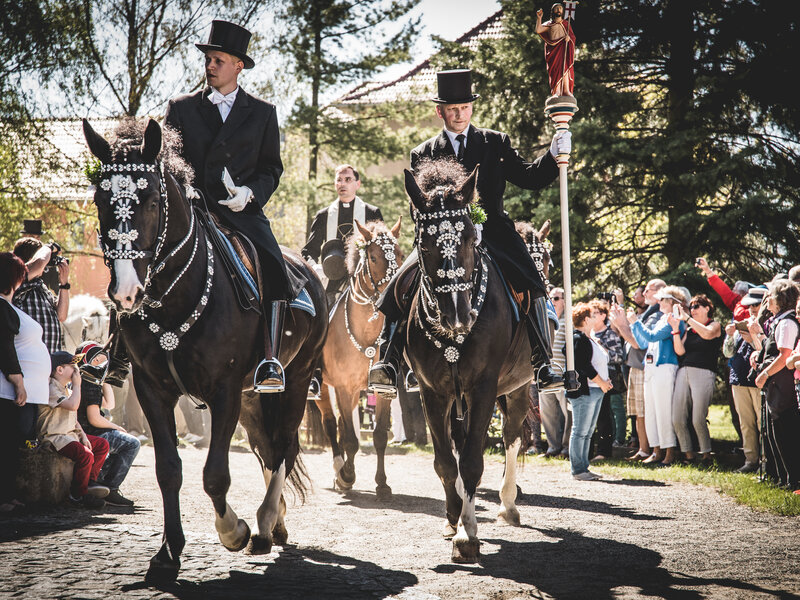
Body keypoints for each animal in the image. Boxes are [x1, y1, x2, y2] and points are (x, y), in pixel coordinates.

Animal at [84, 119, 328, 584]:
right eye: (100, 199)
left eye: (150, 199)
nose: (126, 292)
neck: (176, 295)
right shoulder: (153, 390)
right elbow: (168, 471)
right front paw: (167, 554)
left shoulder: (224, 391)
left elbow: (215, 475)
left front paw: (233, 531)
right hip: (253, 399)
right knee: (267, 447)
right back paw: (276, 522)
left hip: (294, 380)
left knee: (283, 446)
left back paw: (265, 522)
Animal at [314, 219, 404, 496]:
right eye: (373, 257)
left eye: (400, 254)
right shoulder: (343, 387)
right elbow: (350, 439)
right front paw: (347, 476)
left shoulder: (382, 391)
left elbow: (379, 436)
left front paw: (382, 482)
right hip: (323, 388)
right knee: (331, 424)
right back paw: (339, 470)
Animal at [404, 159, 536, 564]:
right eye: (425, 243)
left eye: (467, 240)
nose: (458, 315)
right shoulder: (433, 391)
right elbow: (446, 462)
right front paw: (454, 520)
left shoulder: (483, 388)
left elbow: (474, 460)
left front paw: (468, 536)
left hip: (519, 387)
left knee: (511, 437)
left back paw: (508, 505)